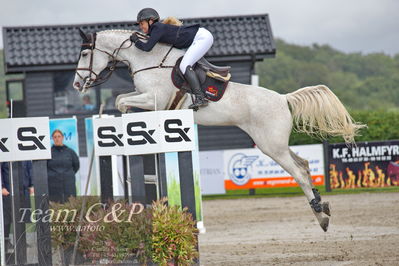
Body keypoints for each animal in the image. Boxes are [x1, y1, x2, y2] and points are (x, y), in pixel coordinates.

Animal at [73, 29, 368, 232]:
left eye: (85, 53)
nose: (77, 84)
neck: (148, 58)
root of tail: (283, 98)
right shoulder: (145, 96)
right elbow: (122, 99)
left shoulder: (154, 97)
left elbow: (123, 100)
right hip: (276, 145)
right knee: (305, 165)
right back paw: (322, 209)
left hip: (270, 146)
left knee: (298, 173)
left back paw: (320, 215)